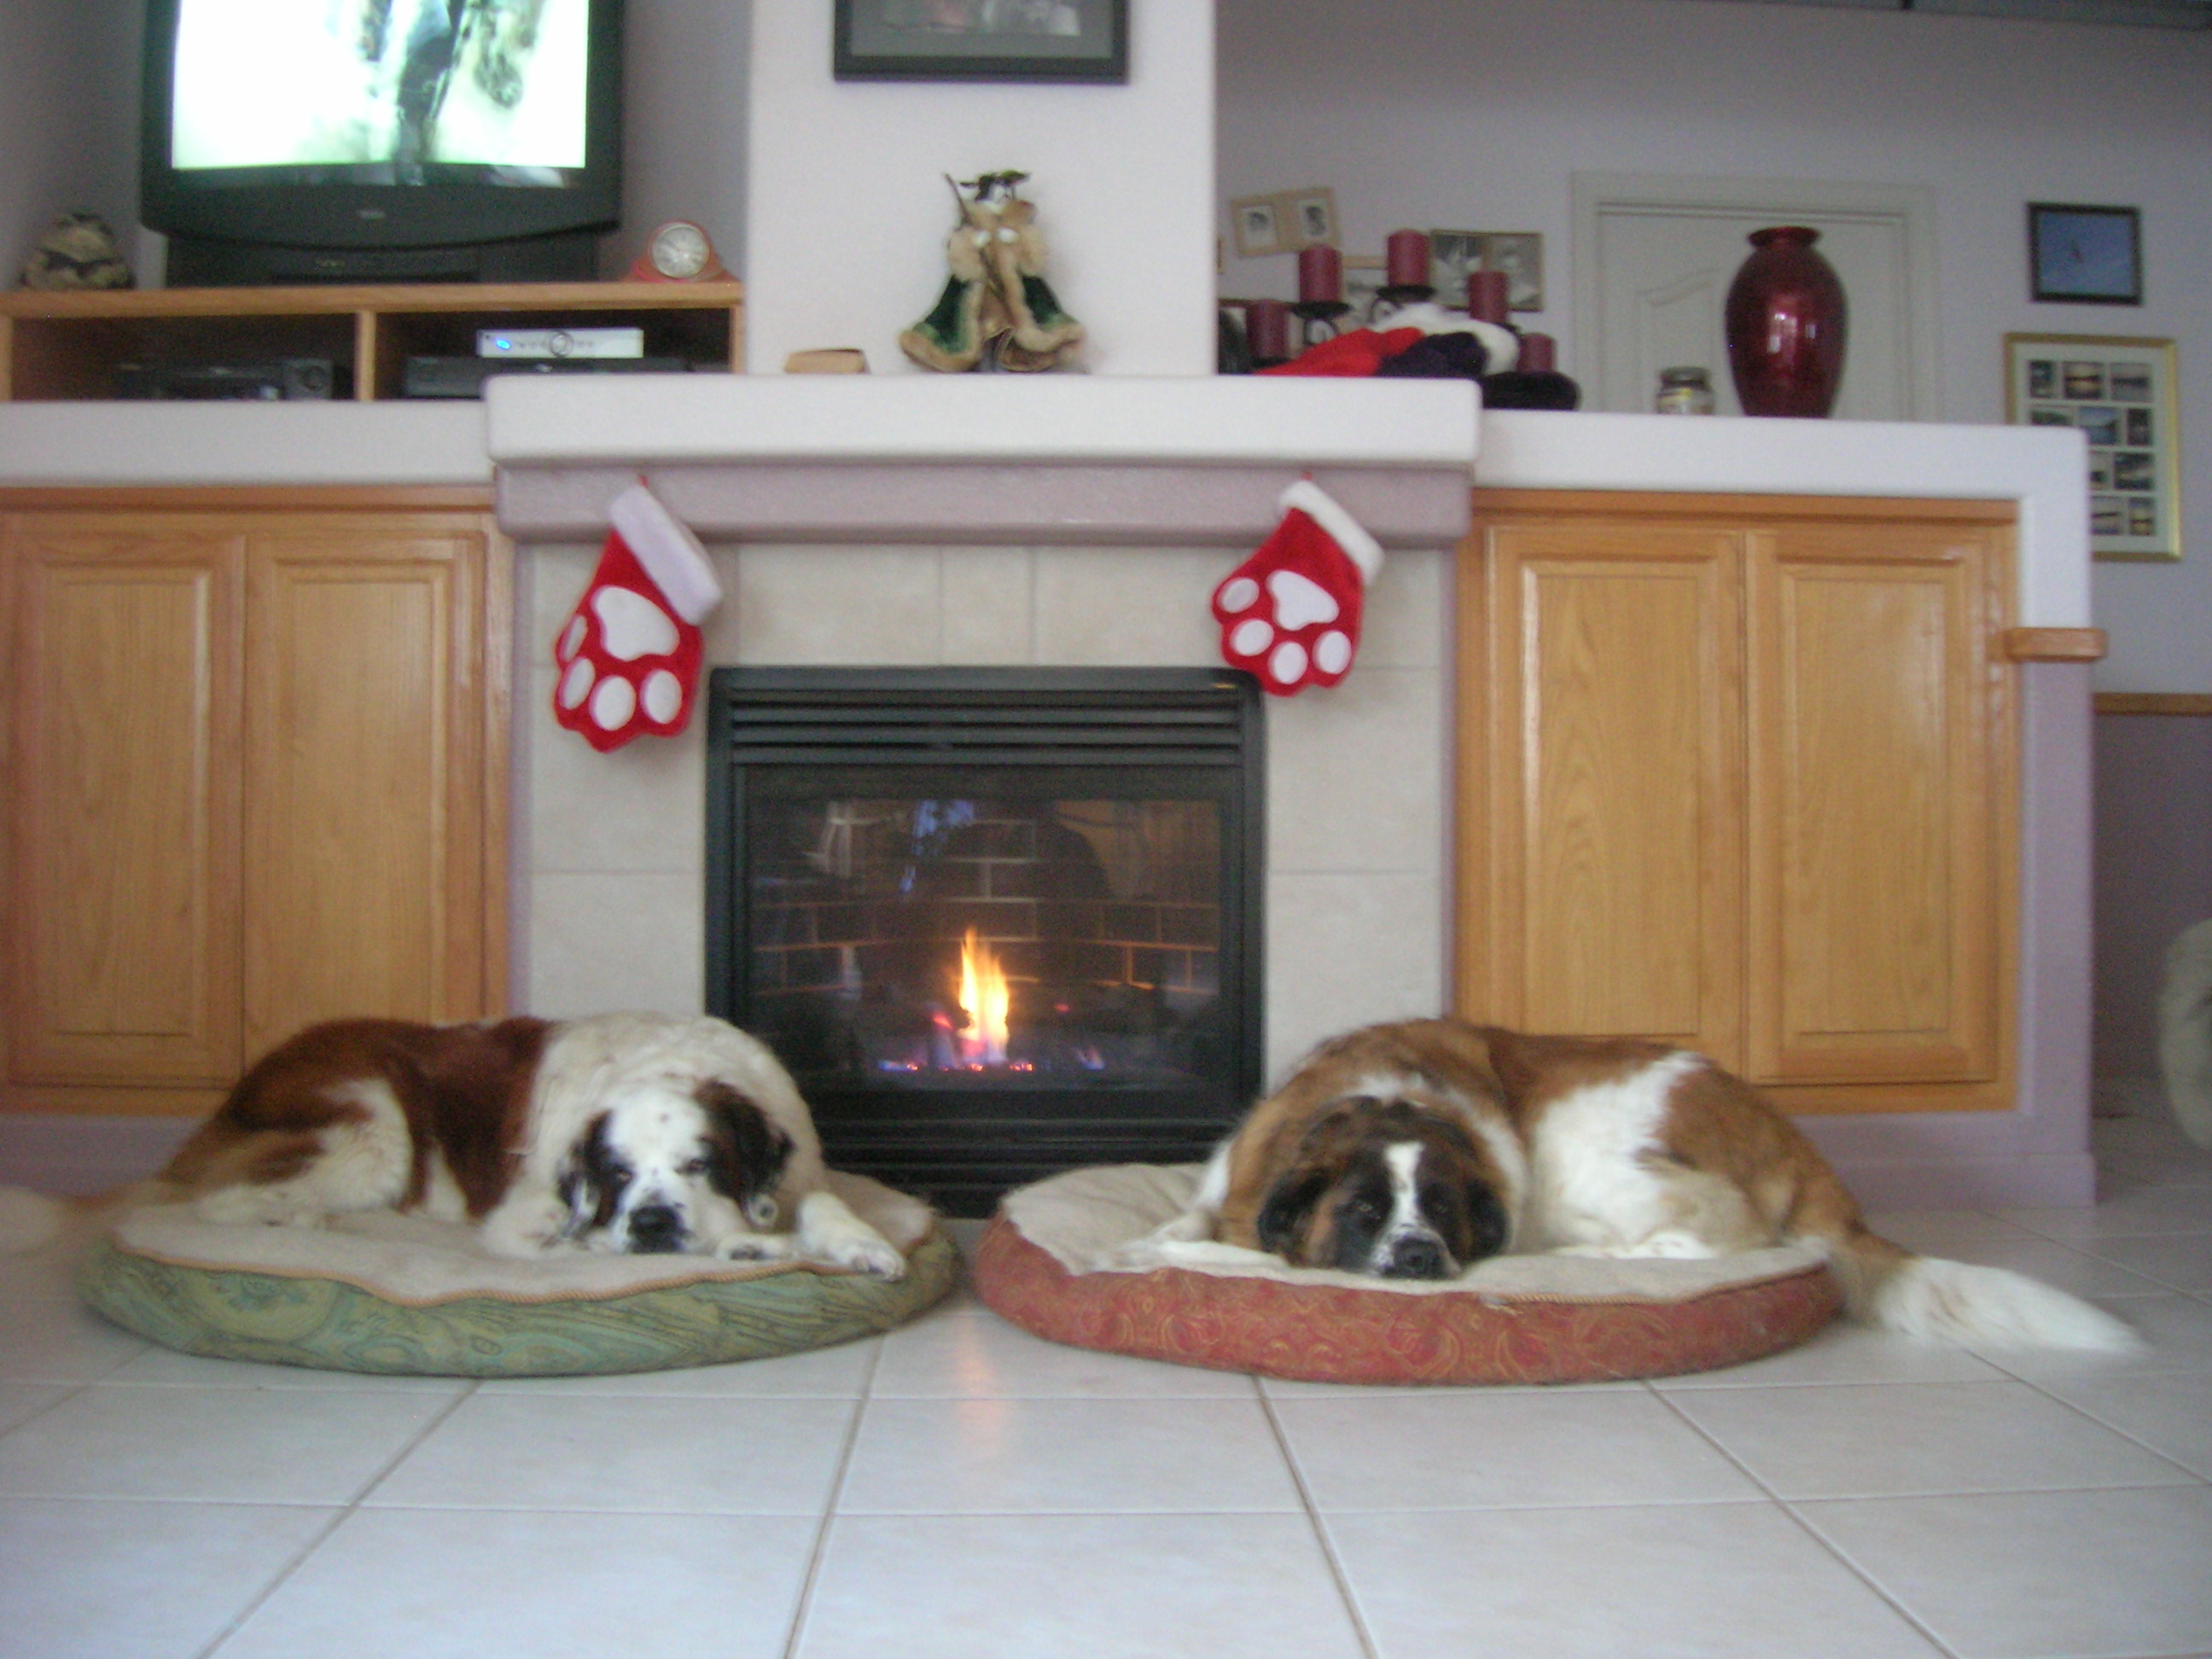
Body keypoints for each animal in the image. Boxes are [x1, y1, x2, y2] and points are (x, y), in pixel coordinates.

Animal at [0, 1012, 904, 1277]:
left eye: (700, 1165)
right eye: (615, 1175)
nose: (651, 1221)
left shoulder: (797, 1165)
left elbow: (823, 1202)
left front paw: (862, 1245)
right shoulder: (529, 1221)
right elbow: (583, 1244)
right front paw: (751, 1250)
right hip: (373, 1120)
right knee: (225, 1202)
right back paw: (309, 1226)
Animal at [1128, 1018, 2138, 1351]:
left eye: (1444, 1212)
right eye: (1367, 1212)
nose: (1418, 1257)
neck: (1384, 1105)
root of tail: (1787, 1132)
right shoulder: (1234, 1172)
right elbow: (1189, 1220)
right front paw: (1148, 1244)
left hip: (1593, 1151)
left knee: (1720, 1241)